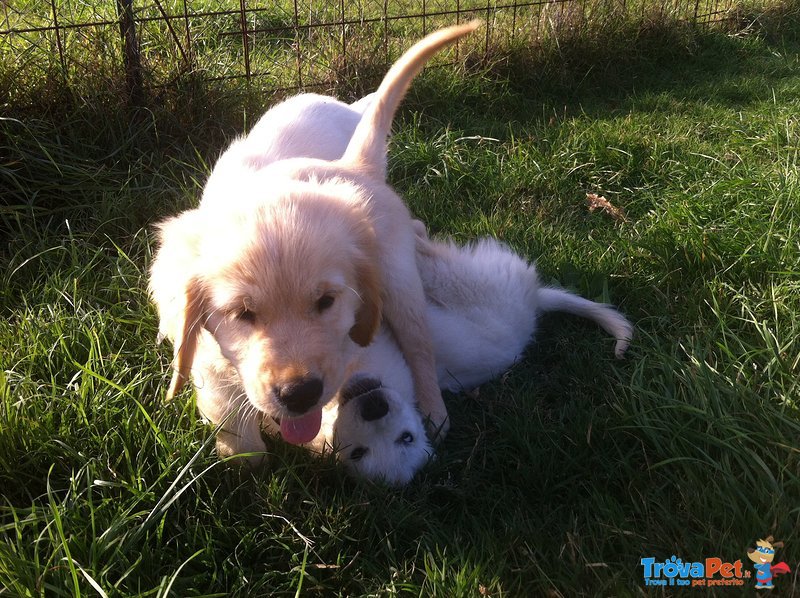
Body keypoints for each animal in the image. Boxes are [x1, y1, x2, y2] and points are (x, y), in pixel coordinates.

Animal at [148, 21, 482, 462]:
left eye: (326, 302)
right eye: (242, 314)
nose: (300, 394)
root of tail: (351, 166)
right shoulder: (208, 365)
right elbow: (236, 433)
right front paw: (247, 462)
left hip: (398, 280)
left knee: (419, 347)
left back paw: (434, 414)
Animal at [304, 230, 632, 488]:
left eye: (406, 438)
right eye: (358, 453)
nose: (374, 407)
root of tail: (535, 303)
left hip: (459, 280)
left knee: (425, 255)